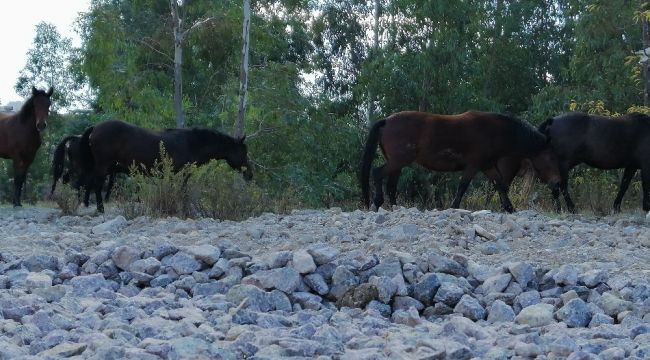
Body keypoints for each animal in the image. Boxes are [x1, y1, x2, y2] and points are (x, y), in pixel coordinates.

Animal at [79, 119, 252, 212]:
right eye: (243, 152)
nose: (250, 174)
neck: (192, 143)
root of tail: (95, 128)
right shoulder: (182, 175)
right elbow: (182, 192)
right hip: (103, 166)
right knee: (96, 184)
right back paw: (100, 209)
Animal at [356, 111, 560, 212]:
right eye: (550, 157)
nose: (557, 182)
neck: (494, 131)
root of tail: (387, 121)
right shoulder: (474, 166)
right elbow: (463, 187)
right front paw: (454, 207)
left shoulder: (487, 166)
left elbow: (500, 185)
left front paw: (510, 208)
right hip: (398, 161)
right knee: (377, 173)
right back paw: (377, 202)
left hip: (398, 163)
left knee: (391, 185)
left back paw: (395, 207)